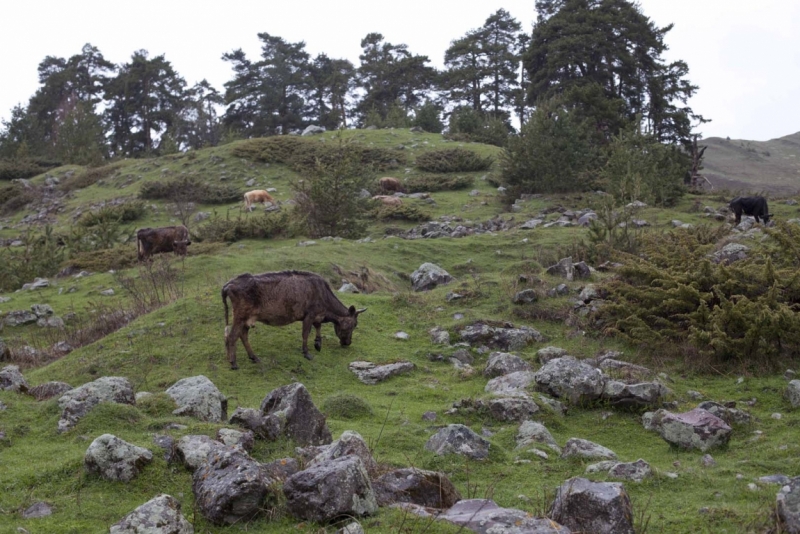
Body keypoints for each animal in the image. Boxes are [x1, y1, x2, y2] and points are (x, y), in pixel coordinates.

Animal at [222, 272, 366, 372]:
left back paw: (254, 357)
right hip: (240, 315)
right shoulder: (309, 314)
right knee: (232, 337)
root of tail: (228, 284)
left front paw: (318, 343)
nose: (348, 343)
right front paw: (307, 353)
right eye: (353, 324)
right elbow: (306, 333)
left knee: (243, 335)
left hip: (247, 318)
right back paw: (233, 363)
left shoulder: (316, 315)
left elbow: (318, 327)